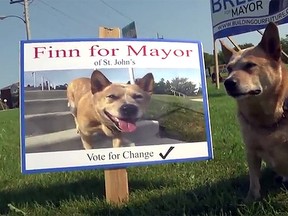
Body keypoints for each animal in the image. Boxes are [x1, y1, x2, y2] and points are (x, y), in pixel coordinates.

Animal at [220, 22, 288, 201]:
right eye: (228, 68)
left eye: (250, 65)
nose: (227, 83)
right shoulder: (251, 150)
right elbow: (254, 179)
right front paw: (251, 199)